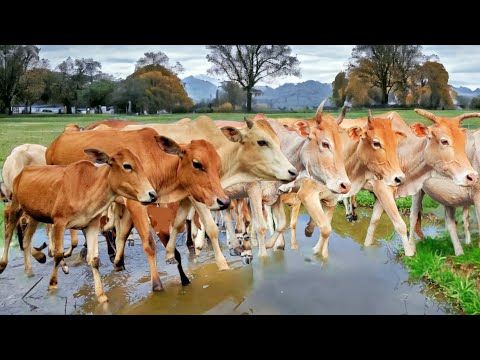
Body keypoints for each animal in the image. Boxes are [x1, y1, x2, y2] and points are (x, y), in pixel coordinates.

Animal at [0, 148, 158, 302]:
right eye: (127, 166)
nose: (152, 195)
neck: (87, 187)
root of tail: (23, 171)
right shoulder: (60, 222)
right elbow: (58, 254)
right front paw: (52, 285)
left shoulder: (92, 225)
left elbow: (94, 259)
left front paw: (101, 296)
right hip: (16, 206)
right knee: (8, 232)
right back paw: (3, 264)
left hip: (34, 215)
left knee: (26, 240)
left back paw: (31, 267)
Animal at [44, 126, 229, 290]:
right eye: (197, 164)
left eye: (218, 165)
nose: (224, 201)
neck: (157, 163)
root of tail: (54, 144)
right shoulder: (138, 204)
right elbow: (149, 243)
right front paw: (157, 284)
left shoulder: (187, 196)